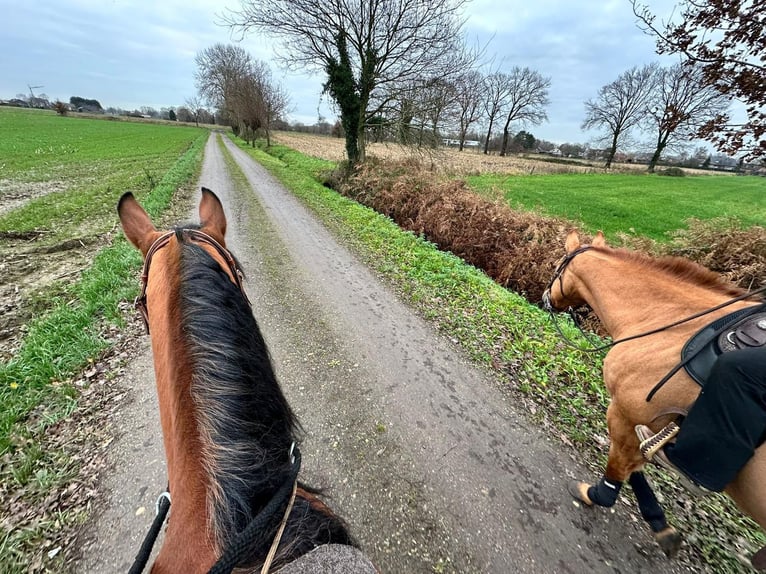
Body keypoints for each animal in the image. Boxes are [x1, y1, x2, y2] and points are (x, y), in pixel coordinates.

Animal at [544, 231, 766, 572]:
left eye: (558, 265)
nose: (546, 297)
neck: (667, 320)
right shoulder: (644, 425)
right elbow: (634, 465)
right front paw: (663, 528)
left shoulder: (626, 413)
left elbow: (621, 466)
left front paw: (597, 495)